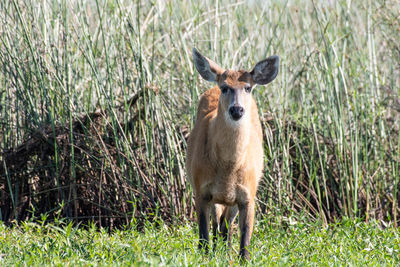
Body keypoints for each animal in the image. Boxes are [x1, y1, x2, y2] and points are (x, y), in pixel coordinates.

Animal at [187, 48, 278, 262]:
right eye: (224, 87)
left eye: (248, 88)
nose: (237, 109)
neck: (228, 169)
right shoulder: (201, 190)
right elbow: (203, 236)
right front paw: (206, 256)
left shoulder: (248, 195)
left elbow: (244, 240)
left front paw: (240, 258)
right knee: (217, 224)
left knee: (225, 225)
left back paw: (225, 250)